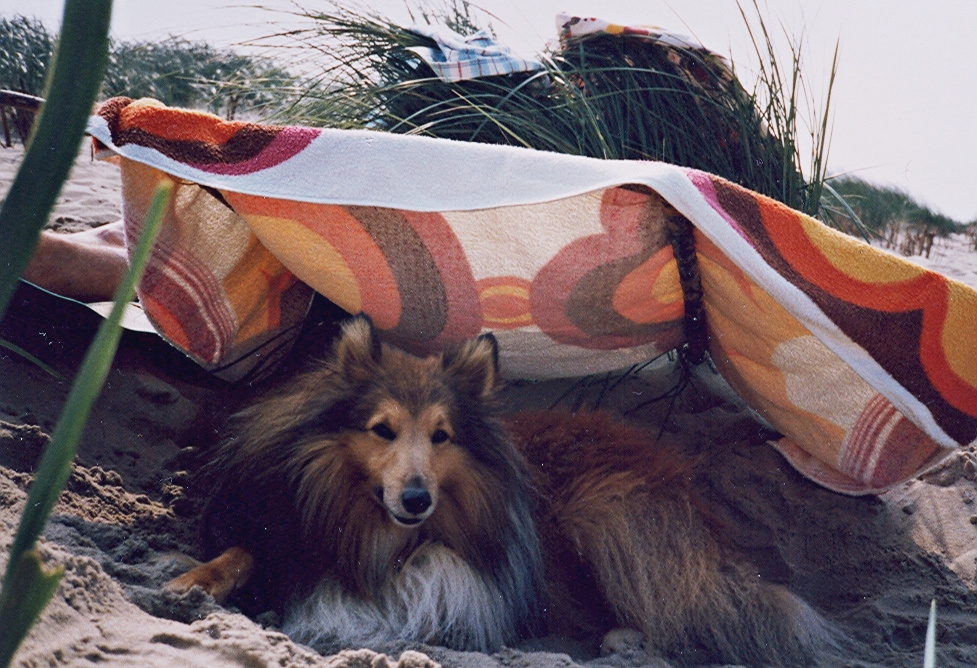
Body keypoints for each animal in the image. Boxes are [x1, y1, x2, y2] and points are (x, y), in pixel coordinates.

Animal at [172, 316, 836, 664]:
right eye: (382, 428)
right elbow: (242, 551)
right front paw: (189, 584)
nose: (417, 501)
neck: (371, 528)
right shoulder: (274, 522)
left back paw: (622, 638)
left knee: (671, 607)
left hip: (606, 511)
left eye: (441, 436)